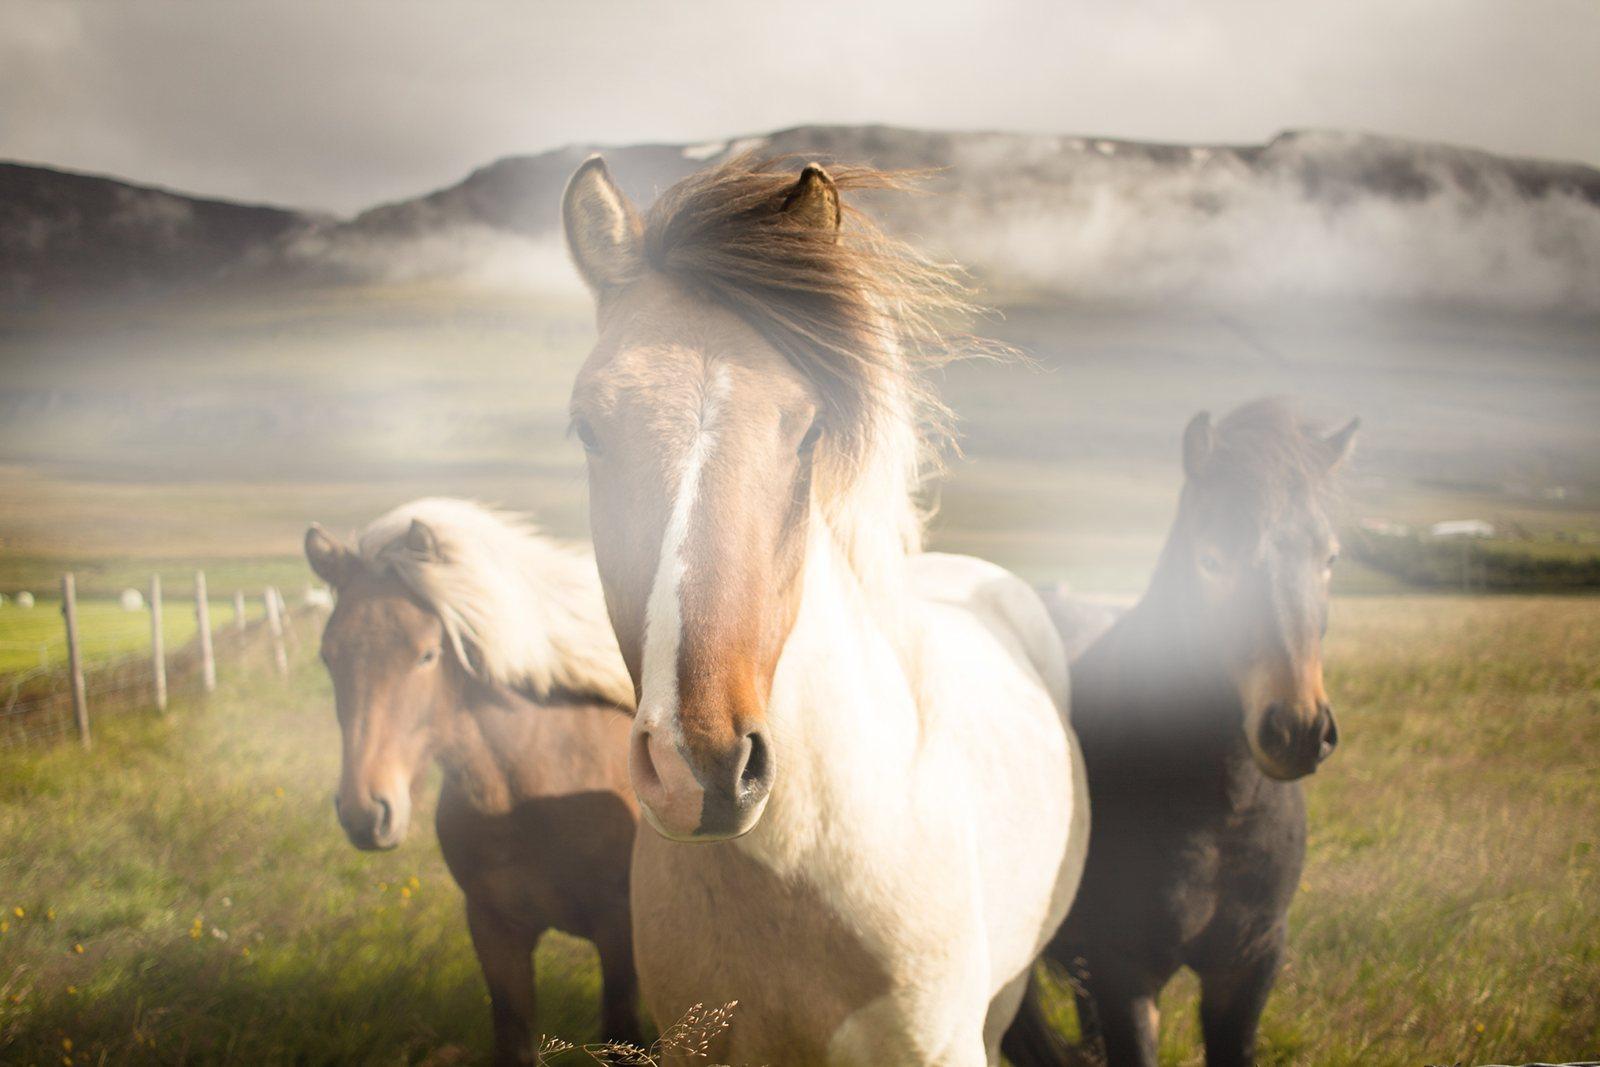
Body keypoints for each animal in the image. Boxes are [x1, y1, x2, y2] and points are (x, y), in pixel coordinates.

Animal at [304, 498, 644, 1064]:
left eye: (426, 654)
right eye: (328, 656)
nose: (365, 812)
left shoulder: (619, 933)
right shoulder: (494, 931)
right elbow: (514, 1038)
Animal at [1003, 399, 1359, 1067]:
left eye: (1328, 558)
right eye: (1211, 560)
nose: (1297, 730)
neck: (1222, 810)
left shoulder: (1248, 965)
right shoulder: (1126, 972)